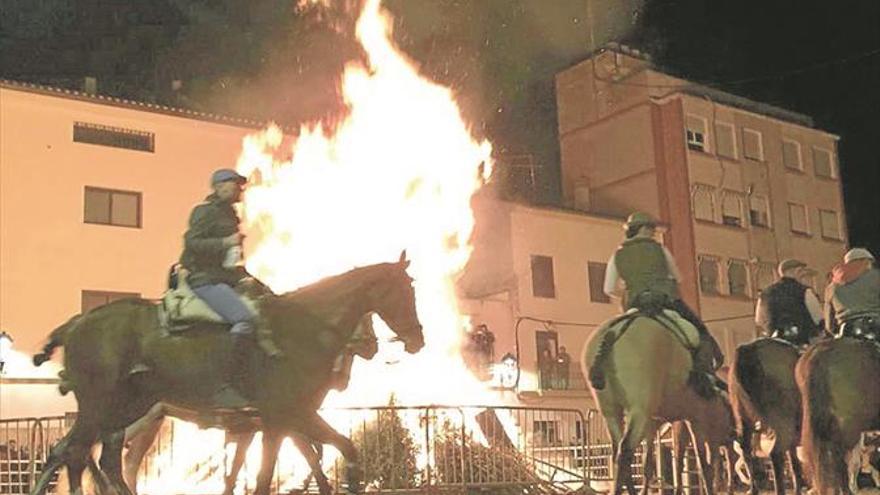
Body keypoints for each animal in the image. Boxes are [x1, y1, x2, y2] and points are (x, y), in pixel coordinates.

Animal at [29, 256, 424, 495]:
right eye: (405, 290)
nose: (417, 339)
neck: (301, 329)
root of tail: (76, 323)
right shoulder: (282, 418)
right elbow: (273, 472)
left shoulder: (285, 420)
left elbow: (338, 450)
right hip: (104, 408)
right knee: (74, 453)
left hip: (126, 411)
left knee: (91, 456)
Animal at [580, 314, 724, 495]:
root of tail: (613, 332)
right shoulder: (695, 418)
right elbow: (702, 463)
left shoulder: (652, 423)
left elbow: (648, 464)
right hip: (639, 411)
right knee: (625, 450)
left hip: (611, 412)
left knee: (618, 451)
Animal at [724, 340, 808, 494]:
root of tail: (748, 350)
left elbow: (795, 465)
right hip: (782, 424)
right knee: (776, 454)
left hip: (743, 418)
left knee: (746, 450)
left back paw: (754, 488)